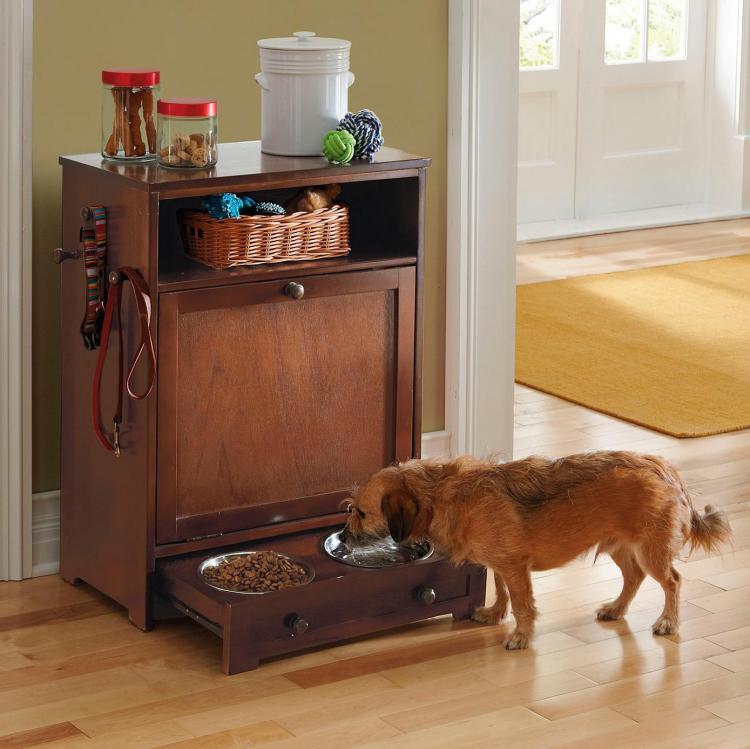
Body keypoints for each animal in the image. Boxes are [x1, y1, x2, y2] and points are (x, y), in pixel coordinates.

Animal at [344, 450, 732, 648]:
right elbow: (500, 590)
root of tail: (667, 470)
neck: (440, 494)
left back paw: (667, 622)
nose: (344, 539)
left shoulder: (515, 567)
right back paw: (616, 609)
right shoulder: (502, 564)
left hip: (650, 550)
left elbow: (522, 604)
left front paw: (520, 636)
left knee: (672, 582)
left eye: (361, 513)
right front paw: (494, 614)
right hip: (620, 547)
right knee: (634, 578)